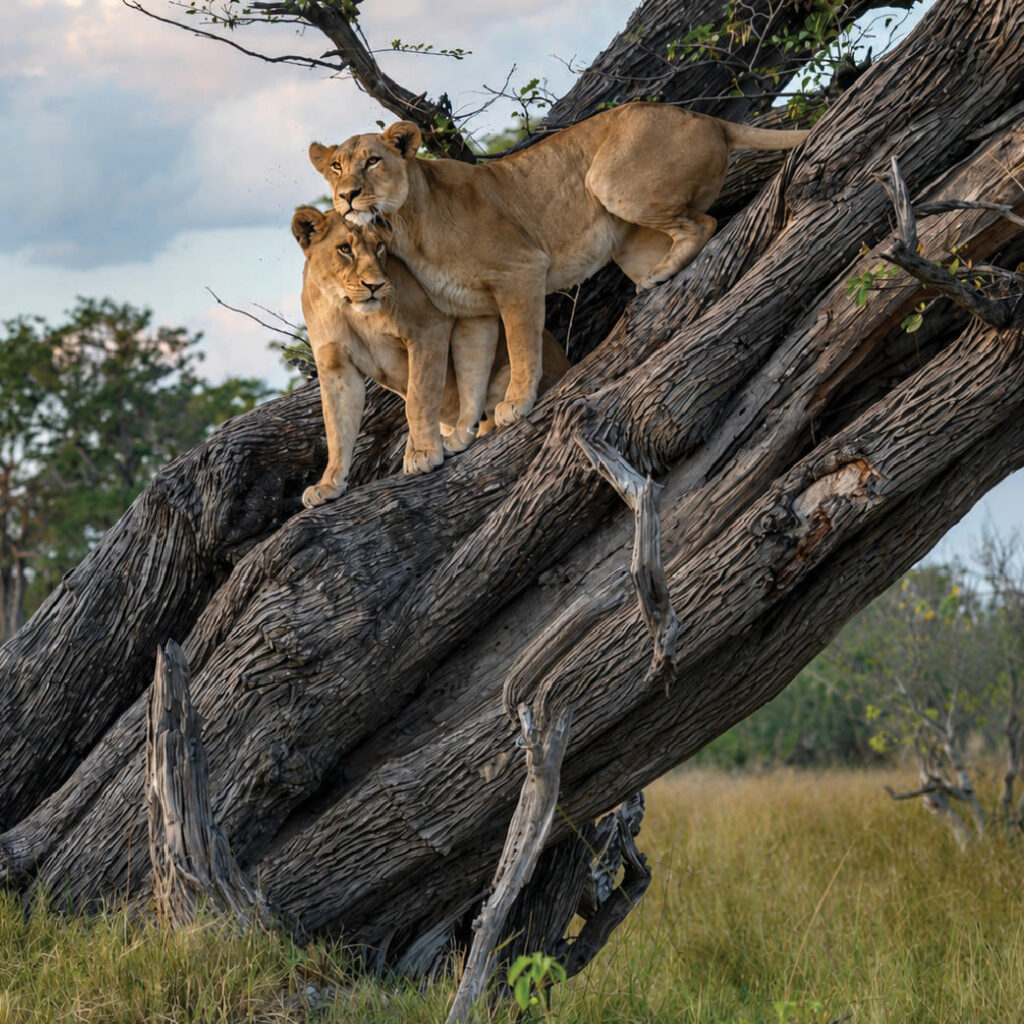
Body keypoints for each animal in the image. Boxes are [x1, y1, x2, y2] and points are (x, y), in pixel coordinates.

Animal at [291, 206, 569, 508]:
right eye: (344, 249)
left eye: (379, 247)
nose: (375, 285)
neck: (345, 307)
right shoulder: (336, 367)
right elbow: (336, 428)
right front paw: (329, 484)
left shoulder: (428, 327)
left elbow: (418, 398)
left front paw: (423, 452)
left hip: (500, 372)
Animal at [309, 102, 808, 427]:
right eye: (336, 167)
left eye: (373, 161)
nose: (345, 195)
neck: (402, 224)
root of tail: (707, 118)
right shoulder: (470, 309)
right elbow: (474, 370)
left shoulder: (520, 270)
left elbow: (522, 347)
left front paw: (516, 404)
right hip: (627, 239)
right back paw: (657, 276)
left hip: (609, 181)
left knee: (704, 221)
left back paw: (662, 274)